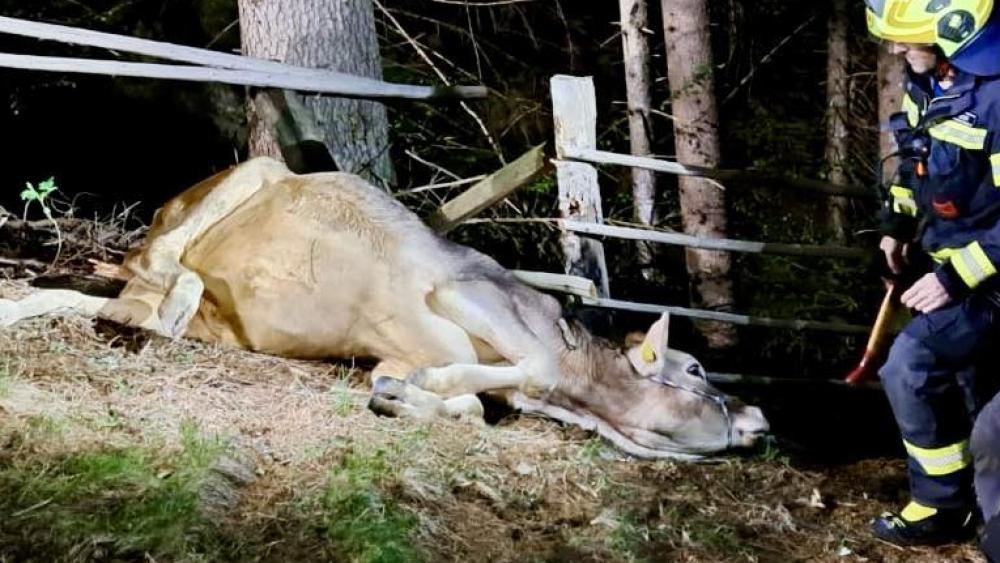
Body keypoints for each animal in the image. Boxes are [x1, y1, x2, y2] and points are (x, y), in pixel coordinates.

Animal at [0, 157, 768, 459]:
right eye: (696, 369)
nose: (759, 414)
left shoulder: (393, 349)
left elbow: (468, 405)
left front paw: (403, 396)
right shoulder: (467, 292)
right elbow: (513, 369)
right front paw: (430, 386)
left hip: (199, 320)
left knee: (83, 297)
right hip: (247, 175)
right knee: (159, 264)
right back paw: (175, 283)